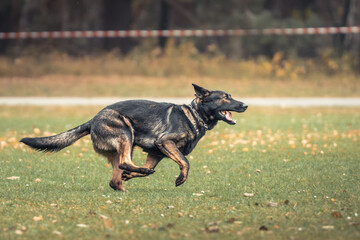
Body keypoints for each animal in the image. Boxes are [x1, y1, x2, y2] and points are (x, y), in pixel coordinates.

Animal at [20, 84, 248, 191]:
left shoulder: (156, 153)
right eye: (225, 97)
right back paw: (137, 171)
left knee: (116, 176)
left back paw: (125, 182)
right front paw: (181, 178)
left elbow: (148, 169)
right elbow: (185, 161)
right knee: (125, 162)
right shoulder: (165, 142)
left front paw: (132, 176)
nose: (245, 105)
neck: (195, 115)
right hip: (126, 133)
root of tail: (93, 120)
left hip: (121, 146)